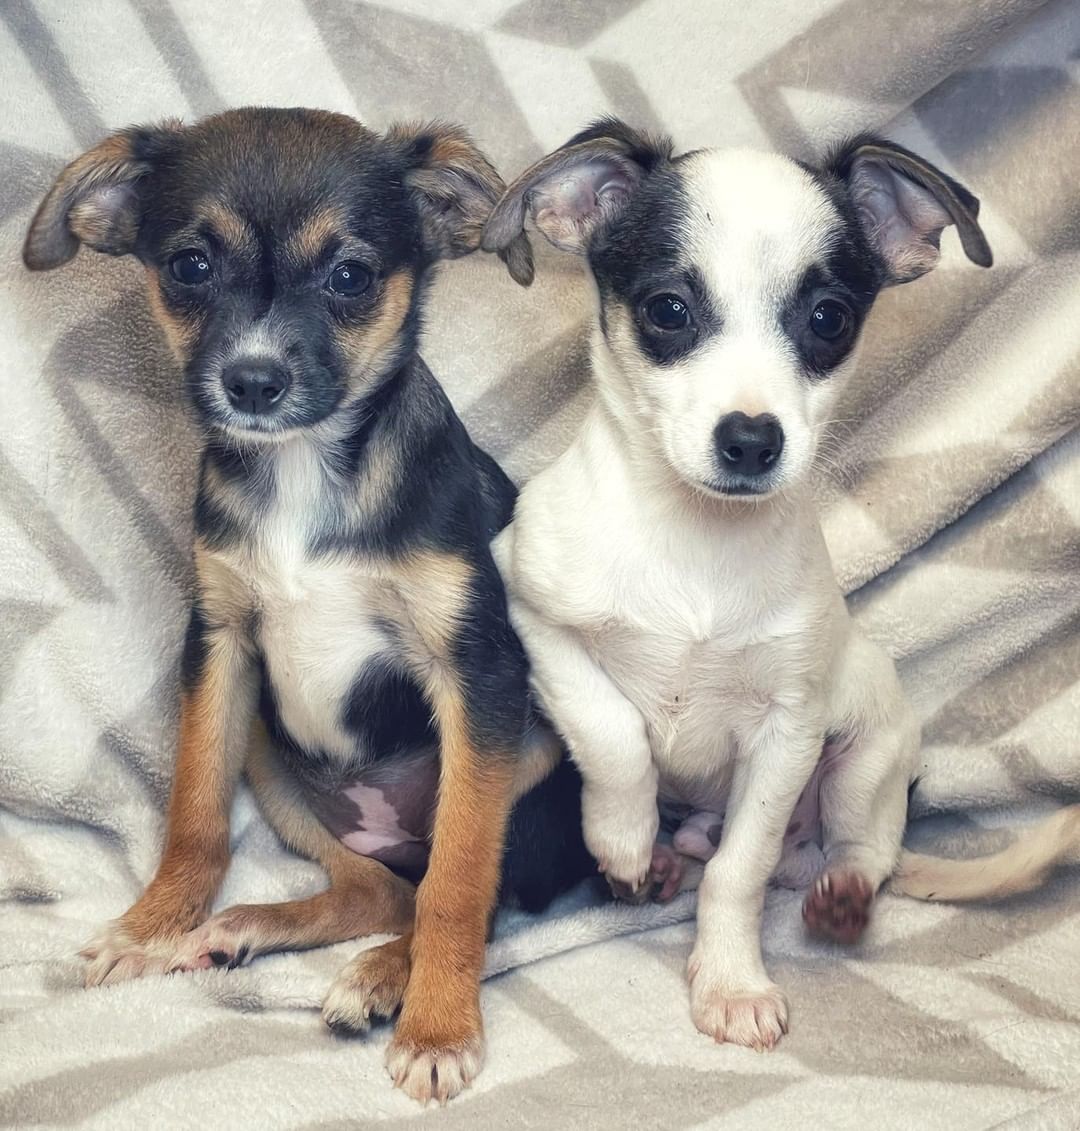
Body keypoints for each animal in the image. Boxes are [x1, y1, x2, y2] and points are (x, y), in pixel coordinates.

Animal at [23, 108, 592, 1103]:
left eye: (351, 277)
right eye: (189, 265)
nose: (252, 381)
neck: (306, 469)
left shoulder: (477, 670)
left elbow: (459, 884)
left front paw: (439, 1026)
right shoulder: (218, 644)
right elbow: (195, 816)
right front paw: (149, 925)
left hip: (530, 760)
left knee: (455, 889)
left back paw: (383, 977)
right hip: (274, 760)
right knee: (381, 887)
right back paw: (248, 926)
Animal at [486, 123, 1080, 1049]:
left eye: (828, 319)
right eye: (668, 311)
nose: (751, 439)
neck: (696, 543)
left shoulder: (787, 733)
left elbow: (741, 869)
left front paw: (730, 980)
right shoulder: (534, 608)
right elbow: (614, 735)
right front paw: (622, 840)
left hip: (865, 761)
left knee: (851, 852)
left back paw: (842, 899)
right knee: (705, 840)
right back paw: (663, 859)